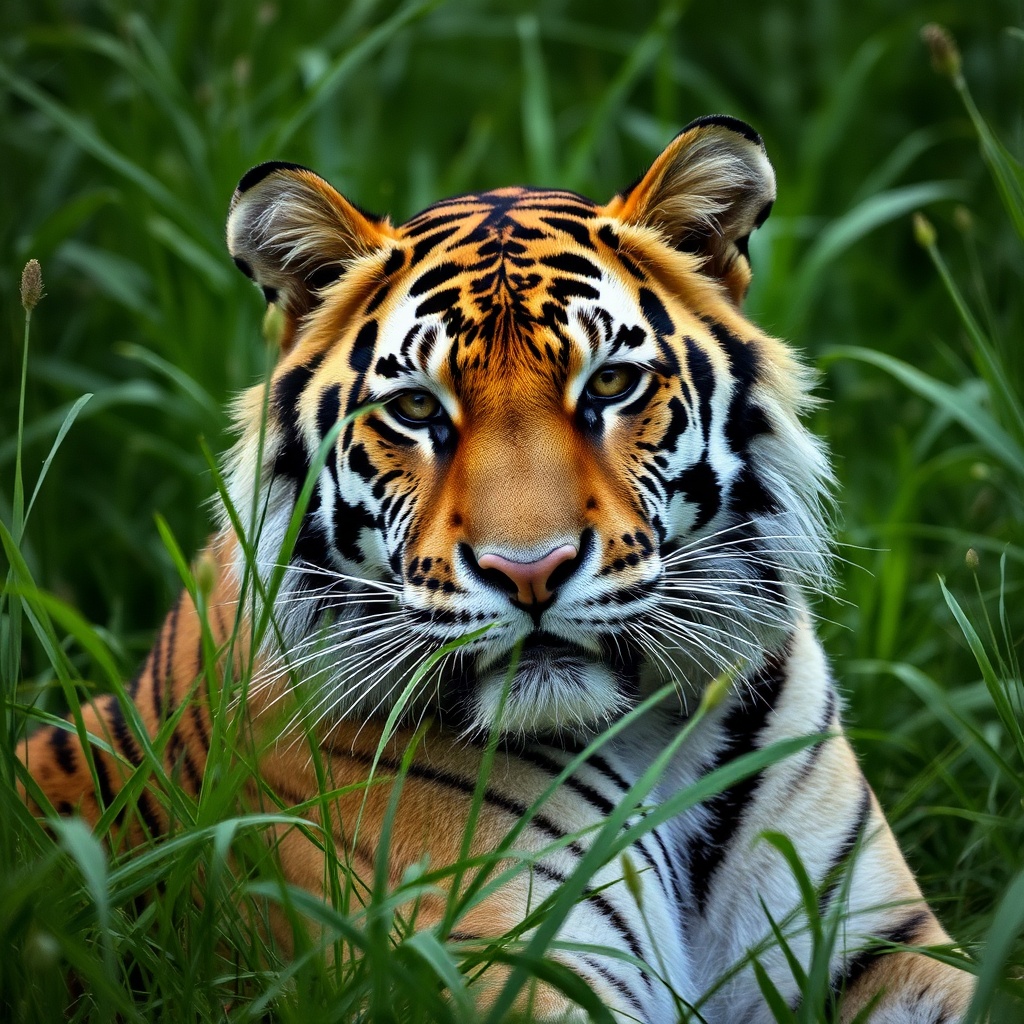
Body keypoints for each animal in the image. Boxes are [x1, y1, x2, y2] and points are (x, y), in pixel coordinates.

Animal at [17, 115, 975, 1022]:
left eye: (611, 385)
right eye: (414, 408)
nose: (531, 572)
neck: (651, 736)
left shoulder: (881, 944)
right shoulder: (505, 966)